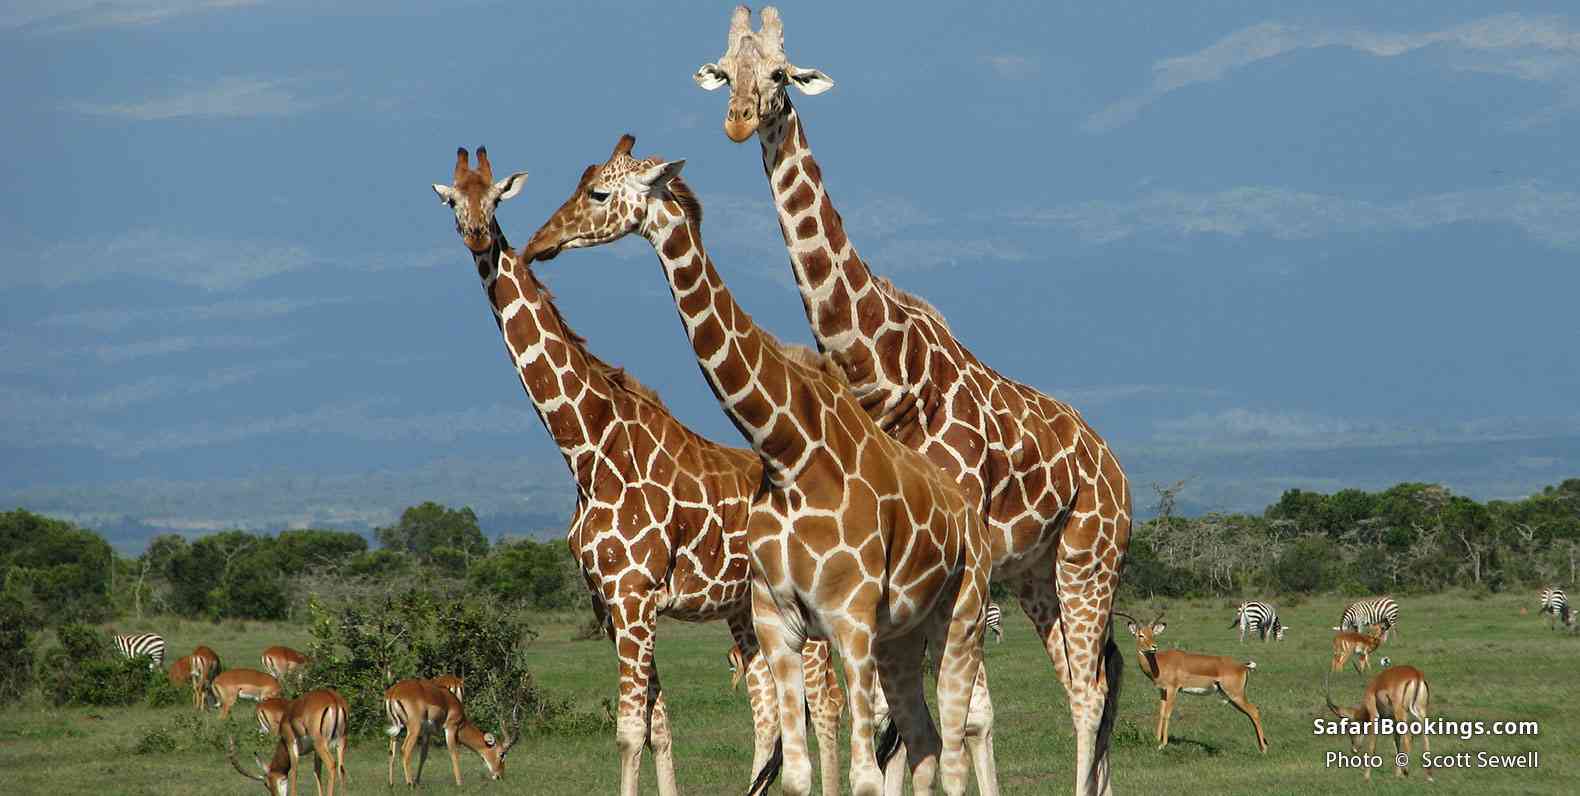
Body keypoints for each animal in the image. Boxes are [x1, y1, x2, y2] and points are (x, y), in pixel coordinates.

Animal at [431, 147, 842, 796]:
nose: (476, 235)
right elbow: (658, 726)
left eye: (494, 198)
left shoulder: (634, 597)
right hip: (744, 613)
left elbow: (628, 731)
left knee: (825, 705)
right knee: (771, 713)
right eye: (453, 201)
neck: (586, 448)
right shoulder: (612, 606)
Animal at [522, 134, 995, 796]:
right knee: (924, 741)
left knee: (952, 742)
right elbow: (792, 770)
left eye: (597, 192)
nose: (538, 243)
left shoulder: (848, 622)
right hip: (900, 635)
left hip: (960, 618)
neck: (789, 451)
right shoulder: (777, 623)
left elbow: (862, 773)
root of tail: (967, 508)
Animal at [695, 7, 1134, 794]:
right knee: (1094, 677)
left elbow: (949, 718)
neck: (886, 371)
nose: (740, 119)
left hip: (1090, 557)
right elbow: (905, 726)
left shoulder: (950, 560)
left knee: (1086, 691)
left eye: (779, 72)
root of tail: (1116, 469)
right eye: (726, 68)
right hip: (1039, 575)